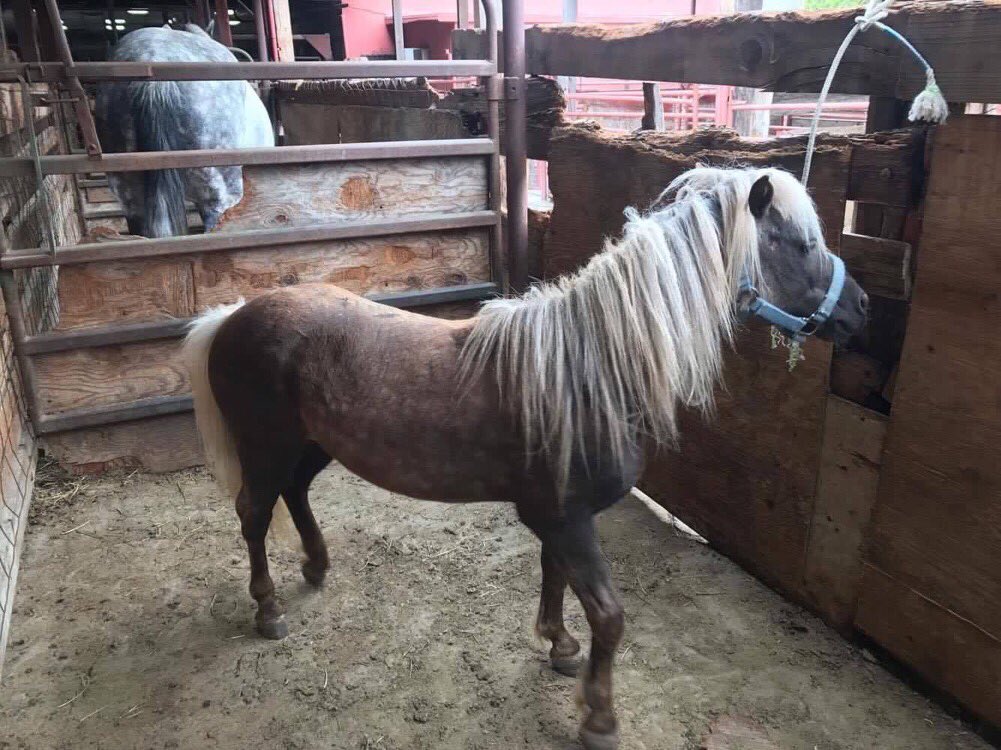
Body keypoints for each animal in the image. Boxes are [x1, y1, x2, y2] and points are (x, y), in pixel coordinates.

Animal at [182, 166, 868, 750]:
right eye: (802, 243)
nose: (861, 308)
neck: (589, 369)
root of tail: (230, 317)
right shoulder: (565, 518)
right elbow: (609, 616)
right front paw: (599, 718)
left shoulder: (560, 519)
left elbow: (555, 579)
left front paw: (560, 647)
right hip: (266, 448)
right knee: (254, 513)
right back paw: (269, 608)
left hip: (312, 445)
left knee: (294, 494)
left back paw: (318, 567)